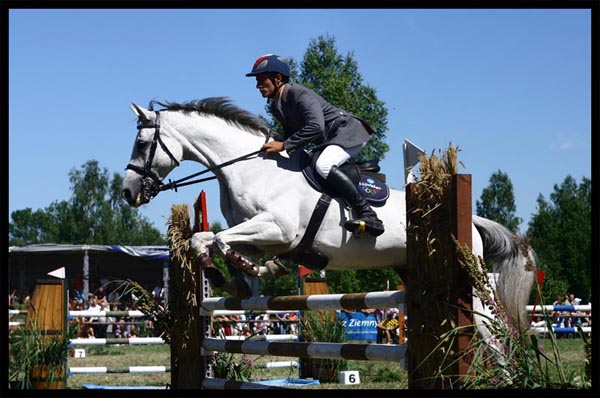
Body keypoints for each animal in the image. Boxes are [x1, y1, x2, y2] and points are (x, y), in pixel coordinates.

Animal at [124, 97, 536, 338]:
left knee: (494, 333)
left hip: (474, 286)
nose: (128, 192)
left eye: (142, 144)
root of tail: (473, 223)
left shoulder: (278, 229)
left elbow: (223, 240)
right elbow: (204, 239)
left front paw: (243, 270)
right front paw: (237, 276)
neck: (250, 167)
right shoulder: (259, 234)